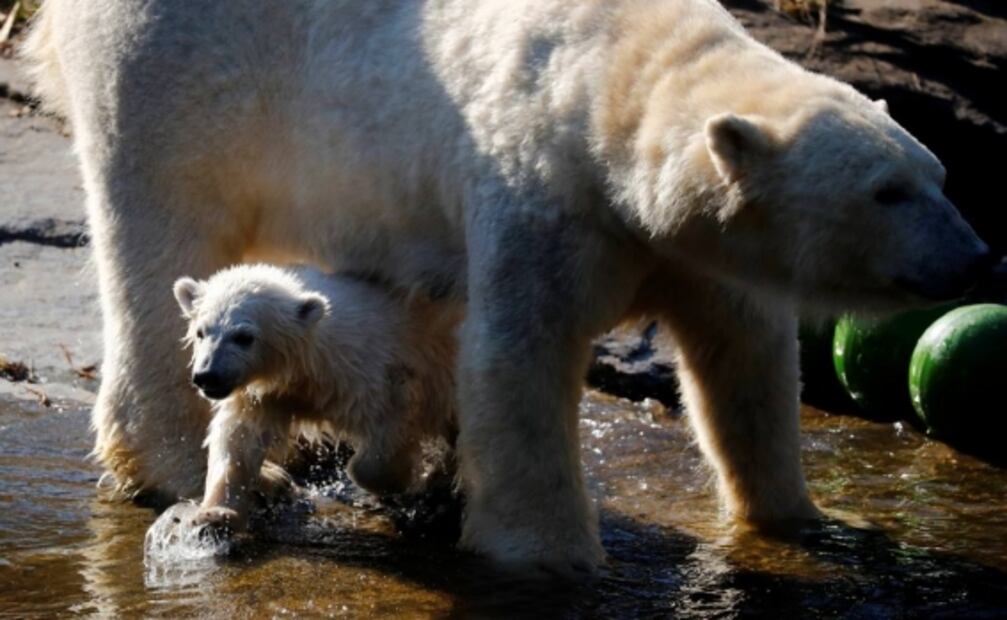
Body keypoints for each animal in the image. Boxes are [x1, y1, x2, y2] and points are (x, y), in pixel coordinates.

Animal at [172, 264, 458, 531]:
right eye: (201, 332)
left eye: (244, 336)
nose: (207, 375)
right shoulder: (264, 393)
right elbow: (238, 437)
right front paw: (218, 514)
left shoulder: (377, 373)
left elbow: (387, 431)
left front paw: (406, 480)